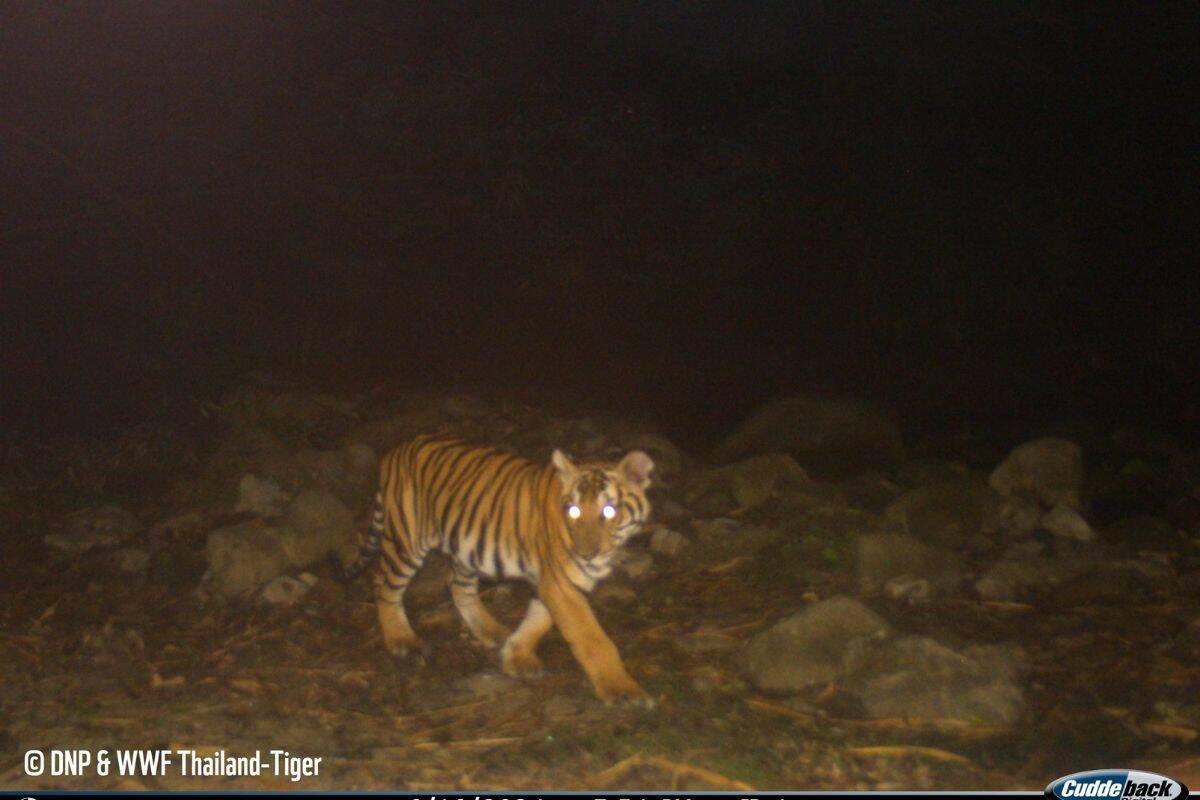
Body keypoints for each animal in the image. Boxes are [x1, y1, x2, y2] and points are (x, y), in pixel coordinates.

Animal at [340, 433, 655, 705]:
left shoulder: (555, 582)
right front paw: (622, 690)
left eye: (610, 511)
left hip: (465, 547)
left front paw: (516, 655)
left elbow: (539, 618)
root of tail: (396, 450)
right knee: (384, 585)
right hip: (407, 540)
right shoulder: (561, 583)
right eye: (574, 510)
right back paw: (401, 640)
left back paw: (490, 630)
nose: (586, 555)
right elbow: (592, 638)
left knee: (459, 588)